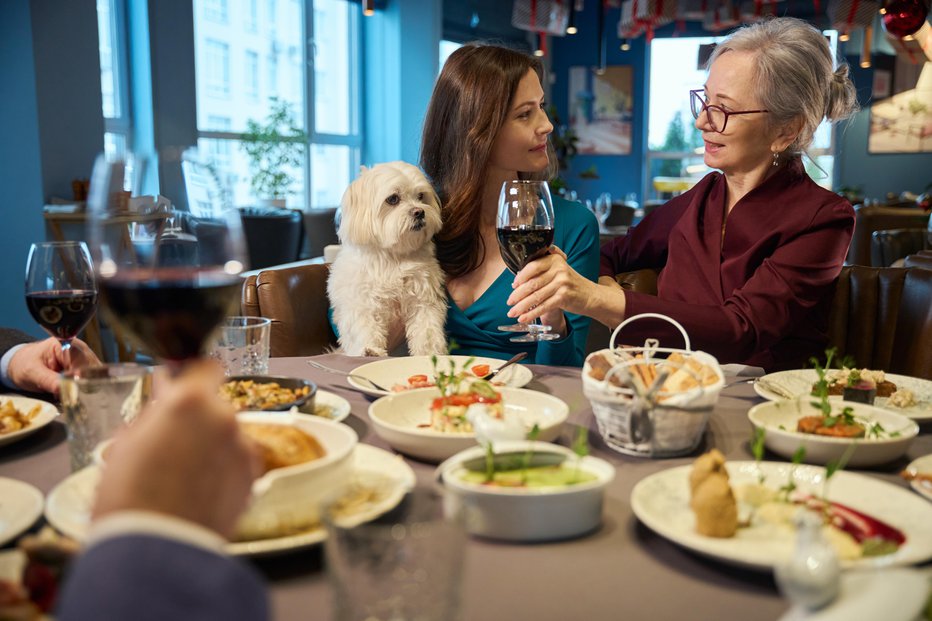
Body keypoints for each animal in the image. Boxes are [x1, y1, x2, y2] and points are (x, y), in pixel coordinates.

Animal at [328, 160, 448, 356]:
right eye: (393, 199)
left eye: (421, 196)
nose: (419, 212)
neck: (392, 256)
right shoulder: (362, 302)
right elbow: (365, 327)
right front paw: (370, 350)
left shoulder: (423, 299)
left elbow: (426, 329)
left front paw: (430, 353)